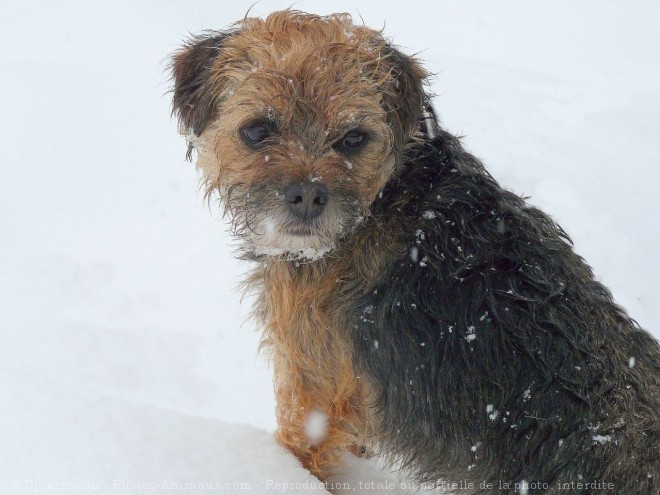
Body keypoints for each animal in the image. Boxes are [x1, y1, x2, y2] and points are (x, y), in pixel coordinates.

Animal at [171, 9, 660, 494]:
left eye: (353, 138)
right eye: (257, 131)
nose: (308, 196)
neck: (382, 201)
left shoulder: (311, 381)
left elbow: (299, 447)